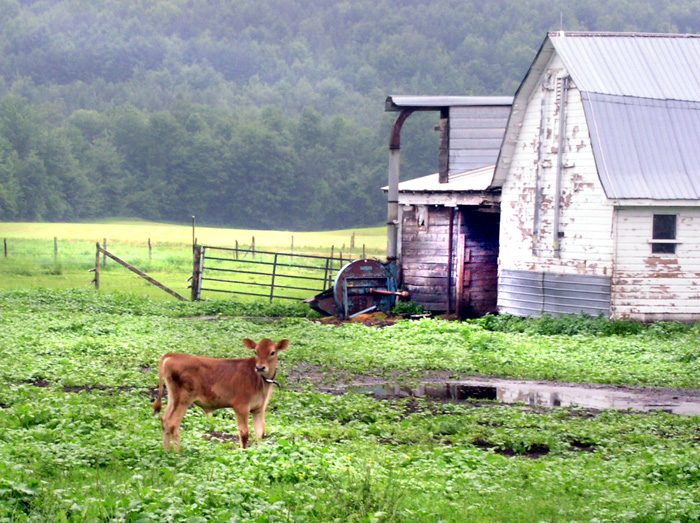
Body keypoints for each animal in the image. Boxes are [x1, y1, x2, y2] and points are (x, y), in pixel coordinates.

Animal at [152, 338, 288, 452]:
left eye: (272, 352)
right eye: (256, 351)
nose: (260, 367)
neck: (261, 382)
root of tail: (172, 355)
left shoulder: (260, 408)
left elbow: (261, 434)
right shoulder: (241, 406)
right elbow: (244, 433)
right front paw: (243, 453)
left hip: (173, 397)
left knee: (165, 419)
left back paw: (167, 451)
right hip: (183, 399)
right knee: (173, 423)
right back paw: (177, 453)